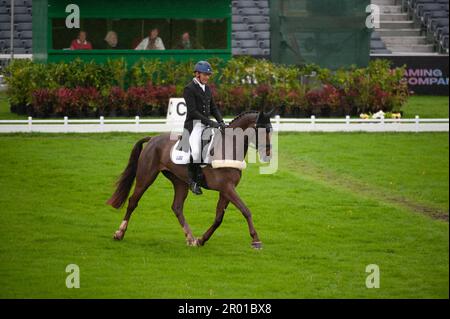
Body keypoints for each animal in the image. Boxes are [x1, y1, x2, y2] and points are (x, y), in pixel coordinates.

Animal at [106, 110, 274, 250]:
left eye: (270, 130)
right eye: (261, 130)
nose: (268, 155)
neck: (227, 148)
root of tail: (153, 138)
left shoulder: (226, 189)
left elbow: (219, 217)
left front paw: (201, 240)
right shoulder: (227, 187)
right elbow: (245, 210)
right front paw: (256, 240)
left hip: (180, 181)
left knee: (177, 207)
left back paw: (191, 238)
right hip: (146, 176)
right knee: (133, 202)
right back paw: (119, 233)